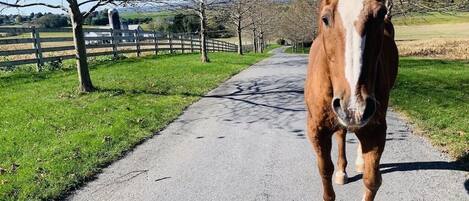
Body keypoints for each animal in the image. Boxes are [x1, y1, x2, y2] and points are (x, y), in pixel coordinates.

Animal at [304, 0, 398, 201]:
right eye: (325, 18)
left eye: (381, 13)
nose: (355, 108)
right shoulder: (316, 130)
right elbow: (325, 171)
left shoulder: (376, 129)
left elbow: (372, 181)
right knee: (341, 134)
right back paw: (341, 171)